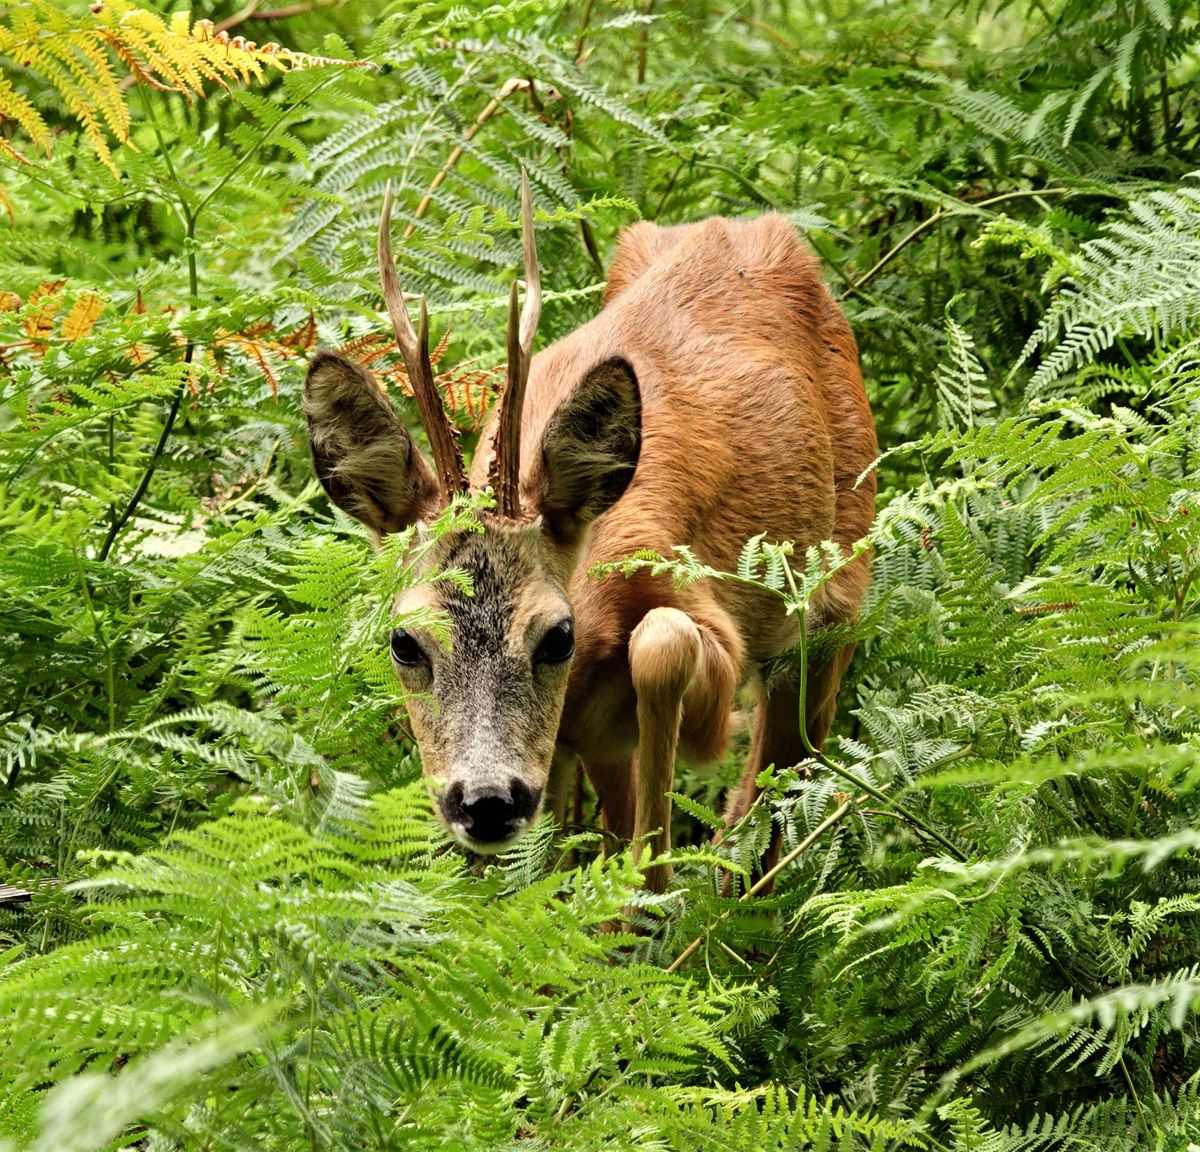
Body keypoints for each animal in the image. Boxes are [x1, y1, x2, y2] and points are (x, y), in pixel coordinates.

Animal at [304, 177, 878, 892]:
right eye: (403, 643)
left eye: (558, 636)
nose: (487, 802)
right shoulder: (580, 740)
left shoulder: (710, 639)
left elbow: (664, 647)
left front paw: (653, 895)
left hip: (838, 589)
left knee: (777, 790)